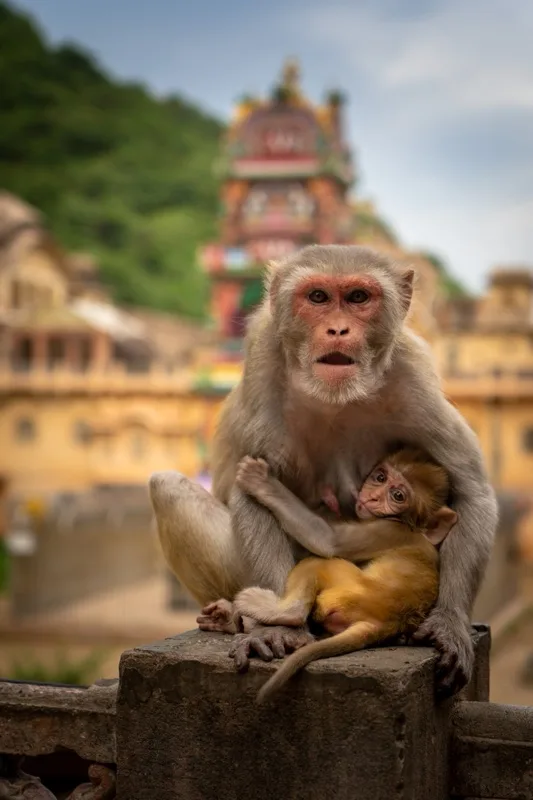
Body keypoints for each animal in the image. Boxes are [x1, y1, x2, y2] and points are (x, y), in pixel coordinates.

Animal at [230, 451, 457, 702]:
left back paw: (279, 610)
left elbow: (328, 540)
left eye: (398, 496)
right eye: (380, 477)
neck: (410, 527)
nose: (373, 497)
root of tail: (383, 623)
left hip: (347, 591)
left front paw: (260, 480)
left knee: (318, 564)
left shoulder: (389, 530)